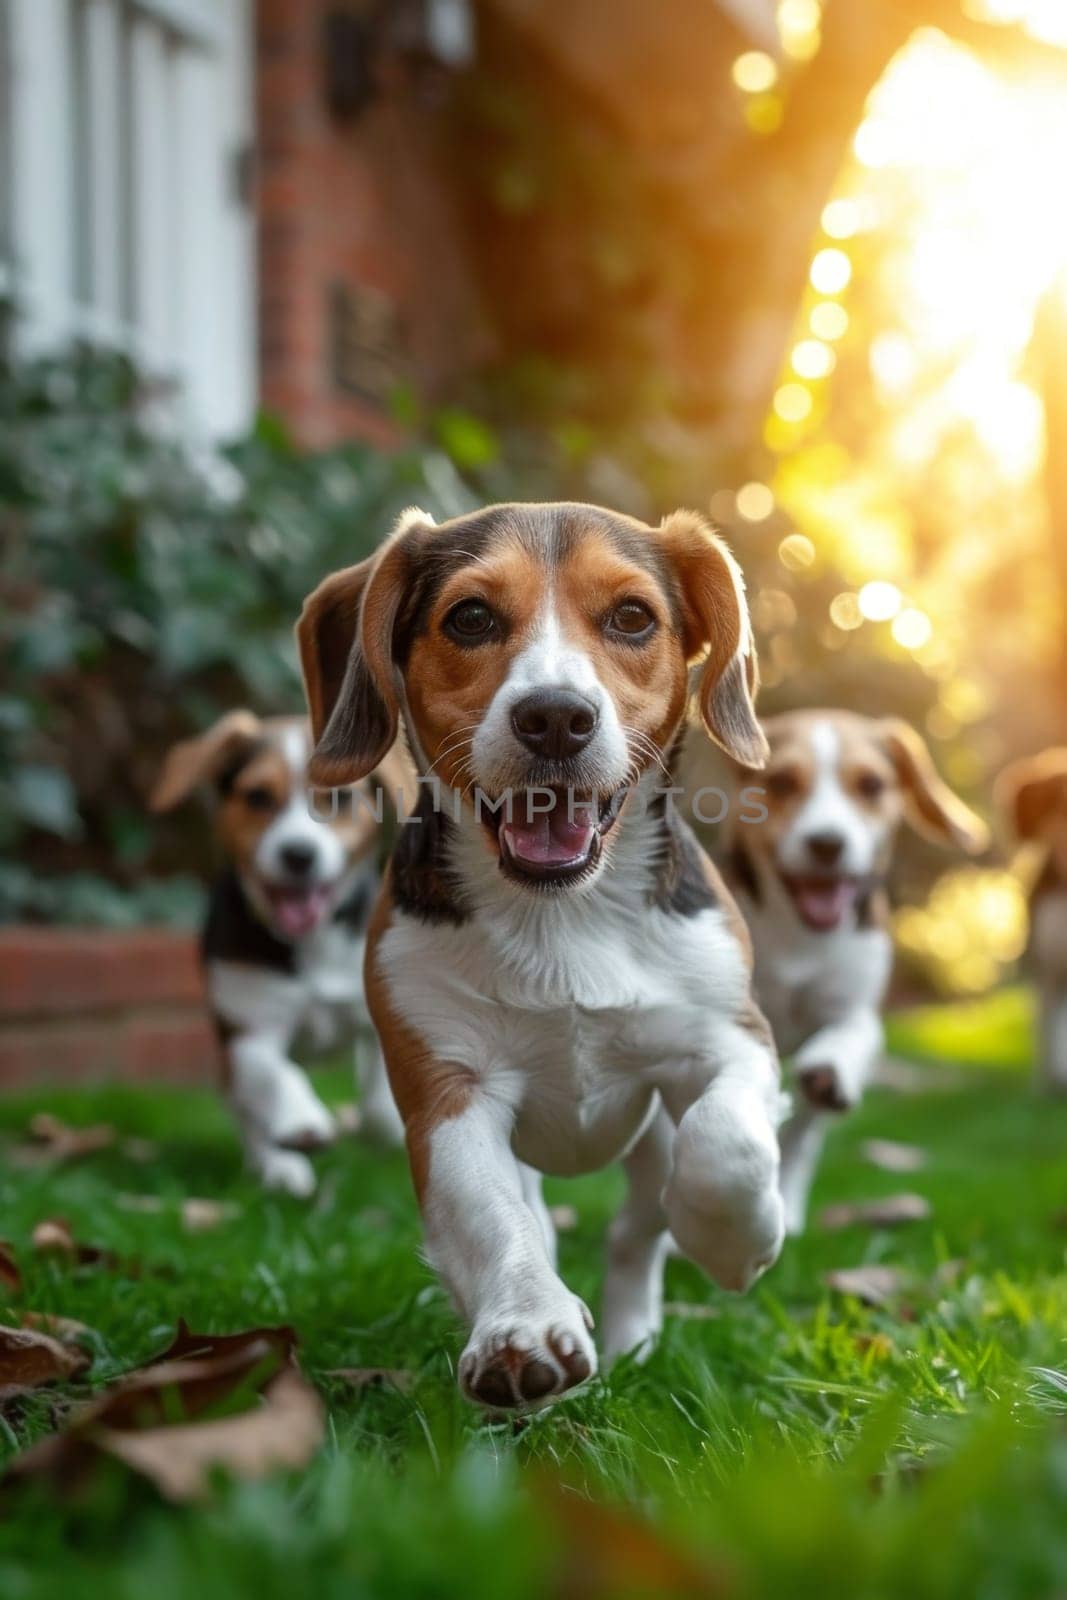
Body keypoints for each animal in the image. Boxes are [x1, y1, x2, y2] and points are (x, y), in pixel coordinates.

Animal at [155, 720, 409, 1196]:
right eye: (257, 797)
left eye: (340, 798)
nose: (298, 854)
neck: (312, 940)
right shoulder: (250, 1030)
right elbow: (276, 1073)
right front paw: (301, 1122)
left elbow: (378, 1094)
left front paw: (386, 1125)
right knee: (251, 1109)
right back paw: (278, 1166)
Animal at [300, 502, 793, 1414]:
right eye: (470, 618)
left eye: (631, 617)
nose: (556, 717)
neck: (561, 915)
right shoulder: (447, 1094)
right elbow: (491, 1217)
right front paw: (521, 1329)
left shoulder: (731, 1038)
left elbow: (728, 1145)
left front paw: (737, 1242)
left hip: (650, 1143)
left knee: (638, 1229)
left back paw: (638, 1334)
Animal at [723, 713, 991, 1235]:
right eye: (781, 782)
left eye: (871, 785)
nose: (827, 843)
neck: (801, 936)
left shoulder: (856, 1009)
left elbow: (851, 1034)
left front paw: (830, 1067)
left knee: (802, 1134)